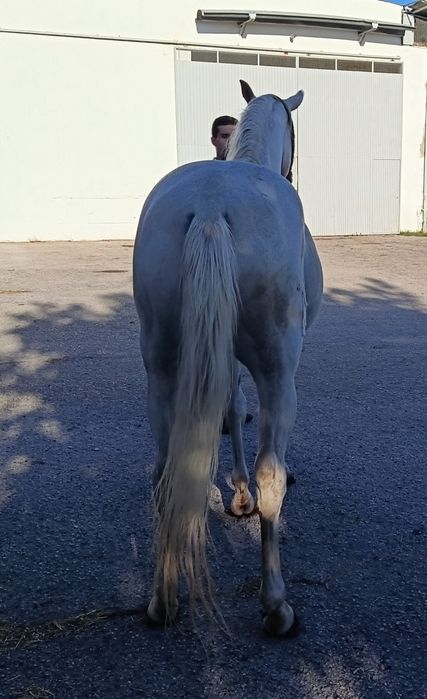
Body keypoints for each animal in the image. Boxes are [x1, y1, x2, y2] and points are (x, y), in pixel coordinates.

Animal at [133, 80, 323, 636]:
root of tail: (211, 206)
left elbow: (231, 408)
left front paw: (234, 494)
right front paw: (243, 495)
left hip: (162, 366)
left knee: (164, 473)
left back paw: (163, 600)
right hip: (280, 369)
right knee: (272, 475)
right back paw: (277, 606)